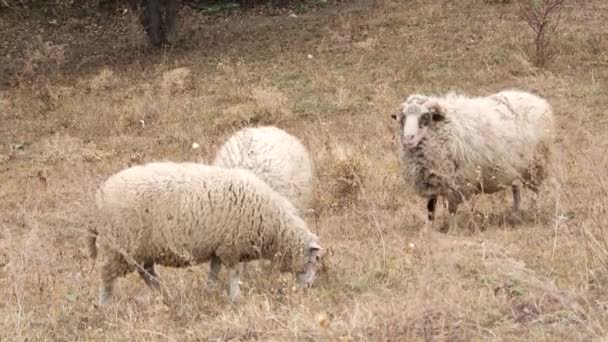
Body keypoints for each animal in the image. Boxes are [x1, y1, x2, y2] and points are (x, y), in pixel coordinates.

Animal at [86, 162, 324, 306]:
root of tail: (98, 197)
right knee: (107, 276)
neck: (274, 225)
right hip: (120, 244)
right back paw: (105, 305)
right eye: (313, 260)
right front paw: (235, 297)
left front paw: (209, 290)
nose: (309, 288)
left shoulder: (218, 246)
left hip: (141, 248)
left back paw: (164, 293)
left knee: (146, 272)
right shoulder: (230, 246)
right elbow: (234, 273)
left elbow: (214, 271)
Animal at [390, 89, 556, 231]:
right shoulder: (432, 179)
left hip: (536, 165)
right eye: (403, 118)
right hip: (517, 168)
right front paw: (428, 230)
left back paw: (534, 213)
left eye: (425, 116)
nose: (408, 138)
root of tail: (539, 101)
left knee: (536, 192)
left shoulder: (456, 183)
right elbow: (430, 207)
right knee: (516, 190)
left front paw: (452, 231)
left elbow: (452, 210)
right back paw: (515, 214)